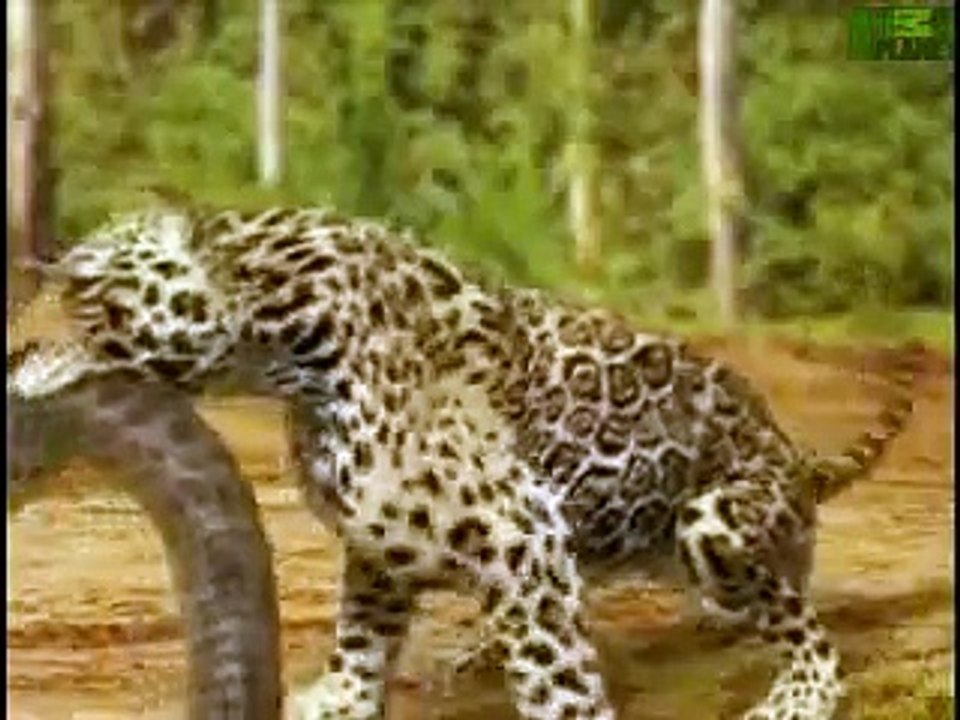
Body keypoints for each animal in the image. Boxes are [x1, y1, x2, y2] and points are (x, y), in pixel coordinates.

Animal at [8, 203, 919, 720]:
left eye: (82, 290)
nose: (14, 346)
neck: (283, 347)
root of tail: (790, 453)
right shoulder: (383, 539)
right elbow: (362, 635)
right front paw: (340, 699)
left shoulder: (519, 530)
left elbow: (556, 678)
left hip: (716, 517)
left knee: (807, 629)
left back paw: (794, 696)